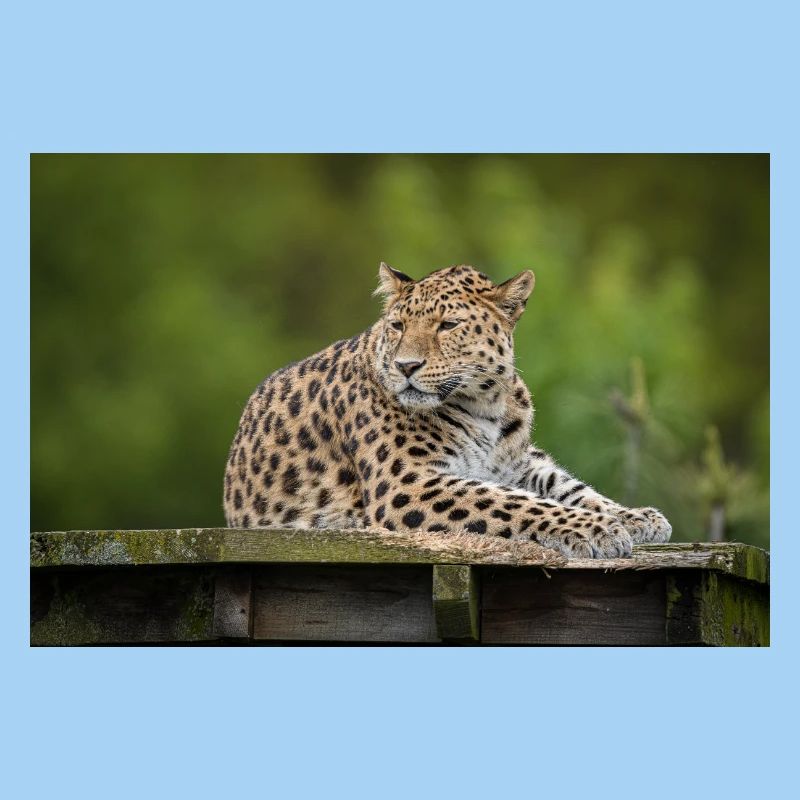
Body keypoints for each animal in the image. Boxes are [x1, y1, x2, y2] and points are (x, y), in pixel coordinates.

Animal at [223, 263, 672, 559]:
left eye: (448, 325)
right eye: (398, 326)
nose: (406, 366)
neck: (488, 404)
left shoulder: (517, 462)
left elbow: (567, 487)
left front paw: (635, 517)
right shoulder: (407, 483)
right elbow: (515, 502)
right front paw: (600, 529)